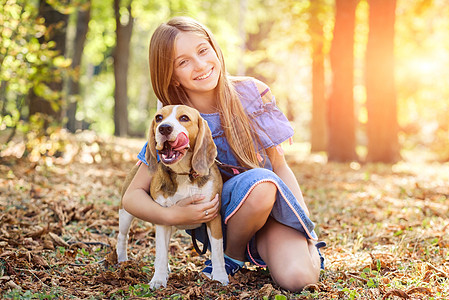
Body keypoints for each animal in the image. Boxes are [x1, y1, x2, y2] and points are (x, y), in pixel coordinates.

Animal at [116, 105, 228, 288]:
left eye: (184, 118)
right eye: (159, 117)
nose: (164, 128)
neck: (183, 174)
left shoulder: (213, 216)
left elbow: (218, 251)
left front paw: (220, 276)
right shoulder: (163, 218)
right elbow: (161, 252)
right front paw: (158, 279)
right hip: (126, 212)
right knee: (122, 236)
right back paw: (122, 260)